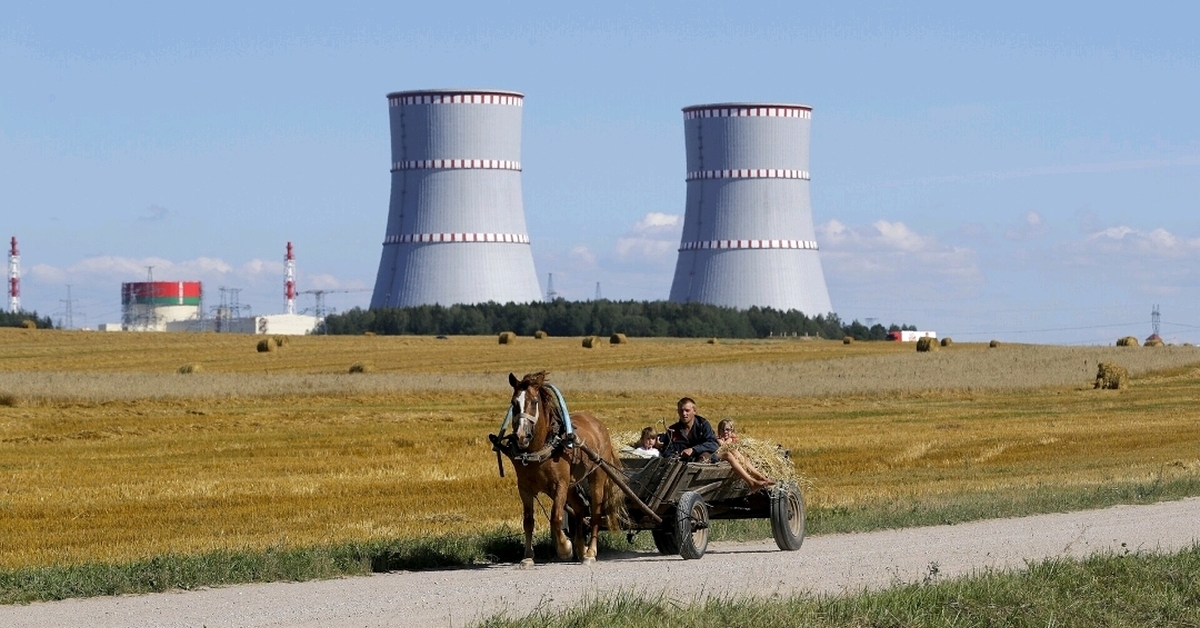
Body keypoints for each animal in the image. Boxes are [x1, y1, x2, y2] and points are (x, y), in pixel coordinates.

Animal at [501, 372, 624, 566]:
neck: (539, 450)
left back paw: (590, 552)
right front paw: (528, 556)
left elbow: (556, 517)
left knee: (595, 513)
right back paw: (581, 548)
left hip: (597, 476)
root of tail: (598, 424)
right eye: (514, 403)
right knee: (580, 508)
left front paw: (565, 548)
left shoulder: (560, 485)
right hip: (572, 485)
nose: (521, 436)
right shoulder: (525, 489)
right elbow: (528, 521)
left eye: (534, 402)